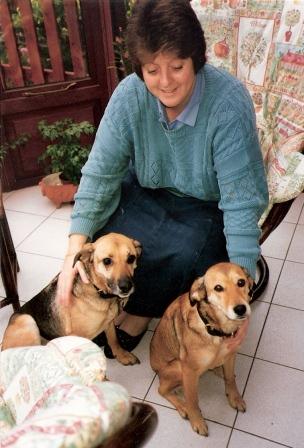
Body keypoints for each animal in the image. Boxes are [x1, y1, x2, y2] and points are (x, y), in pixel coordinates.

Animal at [1, 233, 142, 366]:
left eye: (131, 258)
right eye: (107, 261)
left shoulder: (109, 322)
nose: (126, 287)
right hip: (27, 320)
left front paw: (122, 355)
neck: (96, 290)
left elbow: (114, 340)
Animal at [149, 260, 252, 436]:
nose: (240, 309)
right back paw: (182, 407)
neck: (217, 331)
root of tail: (153, 366)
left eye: (241, 282)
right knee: (162, 389)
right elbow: (193, 400)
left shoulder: (231, 354)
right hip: (177, 367)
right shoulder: (189, 370)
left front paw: (234, 398)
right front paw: (196, 420)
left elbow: (230, 379)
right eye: (218, 288)